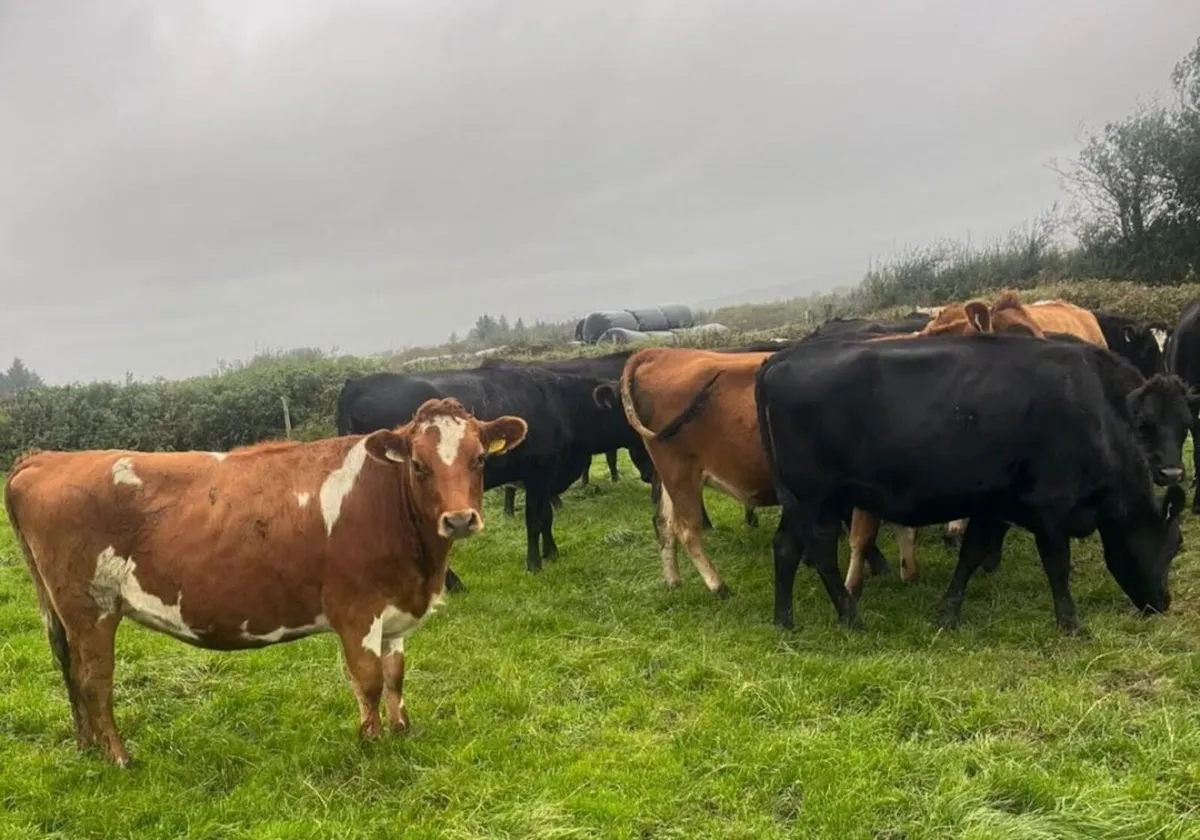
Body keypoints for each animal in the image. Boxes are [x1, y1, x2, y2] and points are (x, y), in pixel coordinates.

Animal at [3, 397, 527, 767]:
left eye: (479, 460)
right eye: (419, 465)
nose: (459, 520)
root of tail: (44, 459)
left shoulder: (396, 612)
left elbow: (396, 676)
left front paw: (401, 732)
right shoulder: (356, 610)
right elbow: (370, 680)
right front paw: (371, 742)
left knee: (70, 673)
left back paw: (87, 747)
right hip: (90, 608)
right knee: (94, 680)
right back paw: (118, 757)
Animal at [337, 361, 641, 584]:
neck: (559, 403)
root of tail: (355, 385)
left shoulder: (544, 476)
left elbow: (546, 517)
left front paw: (551, 553)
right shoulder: (540, 473)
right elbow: (534, 520)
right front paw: (534, 564)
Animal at [755, 333, 1188, 635]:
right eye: (1174, 546)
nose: (1162, 602)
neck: (1094, 415)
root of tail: (781, 357)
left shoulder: (995, 505)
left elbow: (971, 555)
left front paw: (948, 614)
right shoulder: (1050, 506)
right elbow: (1057, 566)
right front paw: (1071, 624)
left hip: (801, 500)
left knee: (786, 548)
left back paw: (783, 621)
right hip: (815, 497)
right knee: (821, 552)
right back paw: (850, 617)